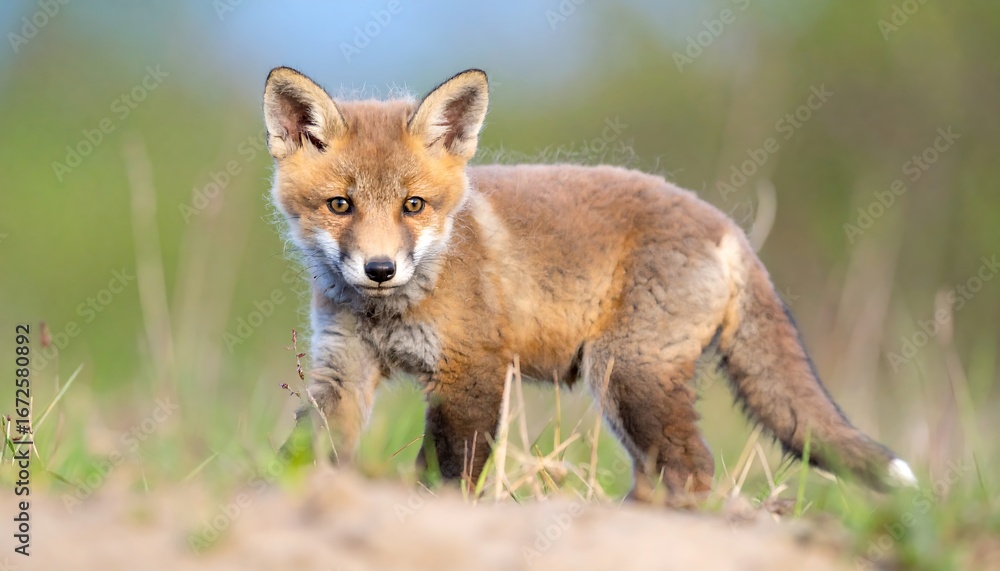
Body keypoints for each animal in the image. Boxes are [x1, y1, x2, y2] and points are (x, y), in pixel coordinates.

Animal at [263, 66, 917, 500]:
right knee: (663, 473)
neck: (394, 311)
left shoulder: (473, 372)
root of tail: (728, 225)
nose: (380, 269)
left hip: (627, 374)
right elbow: (306, 450)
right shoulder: (343, 368)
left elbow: (449, 472)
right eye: (340, 205)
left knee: (693, 471)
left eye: (413, 206)